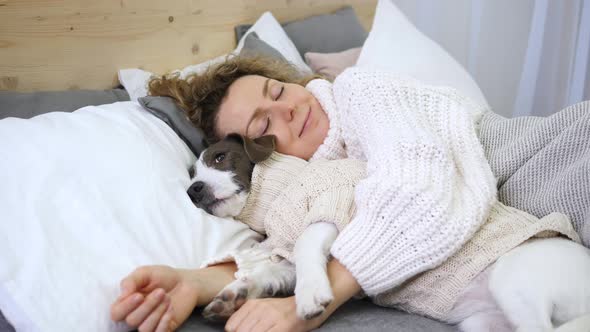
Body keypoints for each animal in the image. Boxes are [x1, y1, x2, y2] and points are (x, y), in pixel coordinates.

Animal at [188, 134, 590, 330]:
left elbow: (304, 246)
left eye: (220, 157)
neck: (278, 191)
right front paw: (236, 294)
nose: (192, 190)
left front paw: (310, 297)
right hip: (483, 323)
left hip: (514, 277)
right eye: (192, 172)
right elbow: (275, 272)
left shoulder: (339, 211)